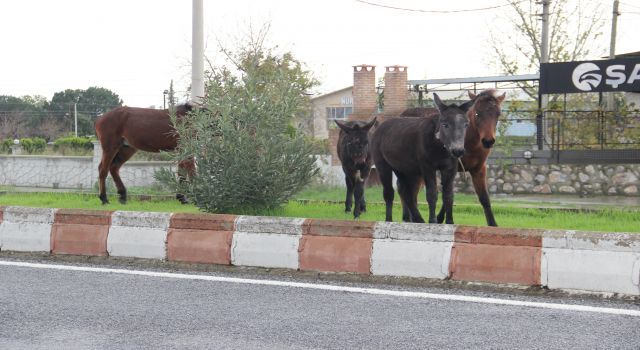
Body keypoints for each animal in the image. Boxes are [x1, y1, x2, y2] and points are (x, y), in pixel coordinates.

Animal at [370, 94, 470, 223]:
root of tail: (380, 126)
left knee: (405, 192)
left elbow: (448, 195)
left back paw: (417, 219)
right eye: (445, 124)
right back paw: (389, 220)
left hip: (403, 168)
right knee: (389, 193)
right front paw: (433, 221)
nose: (458, 151)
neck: (440, 147)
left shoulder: (450, 168)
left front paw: (450, 222)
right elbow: (432, 194)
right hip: (382, 165)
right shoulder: (427, 167)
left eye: (466, 125)